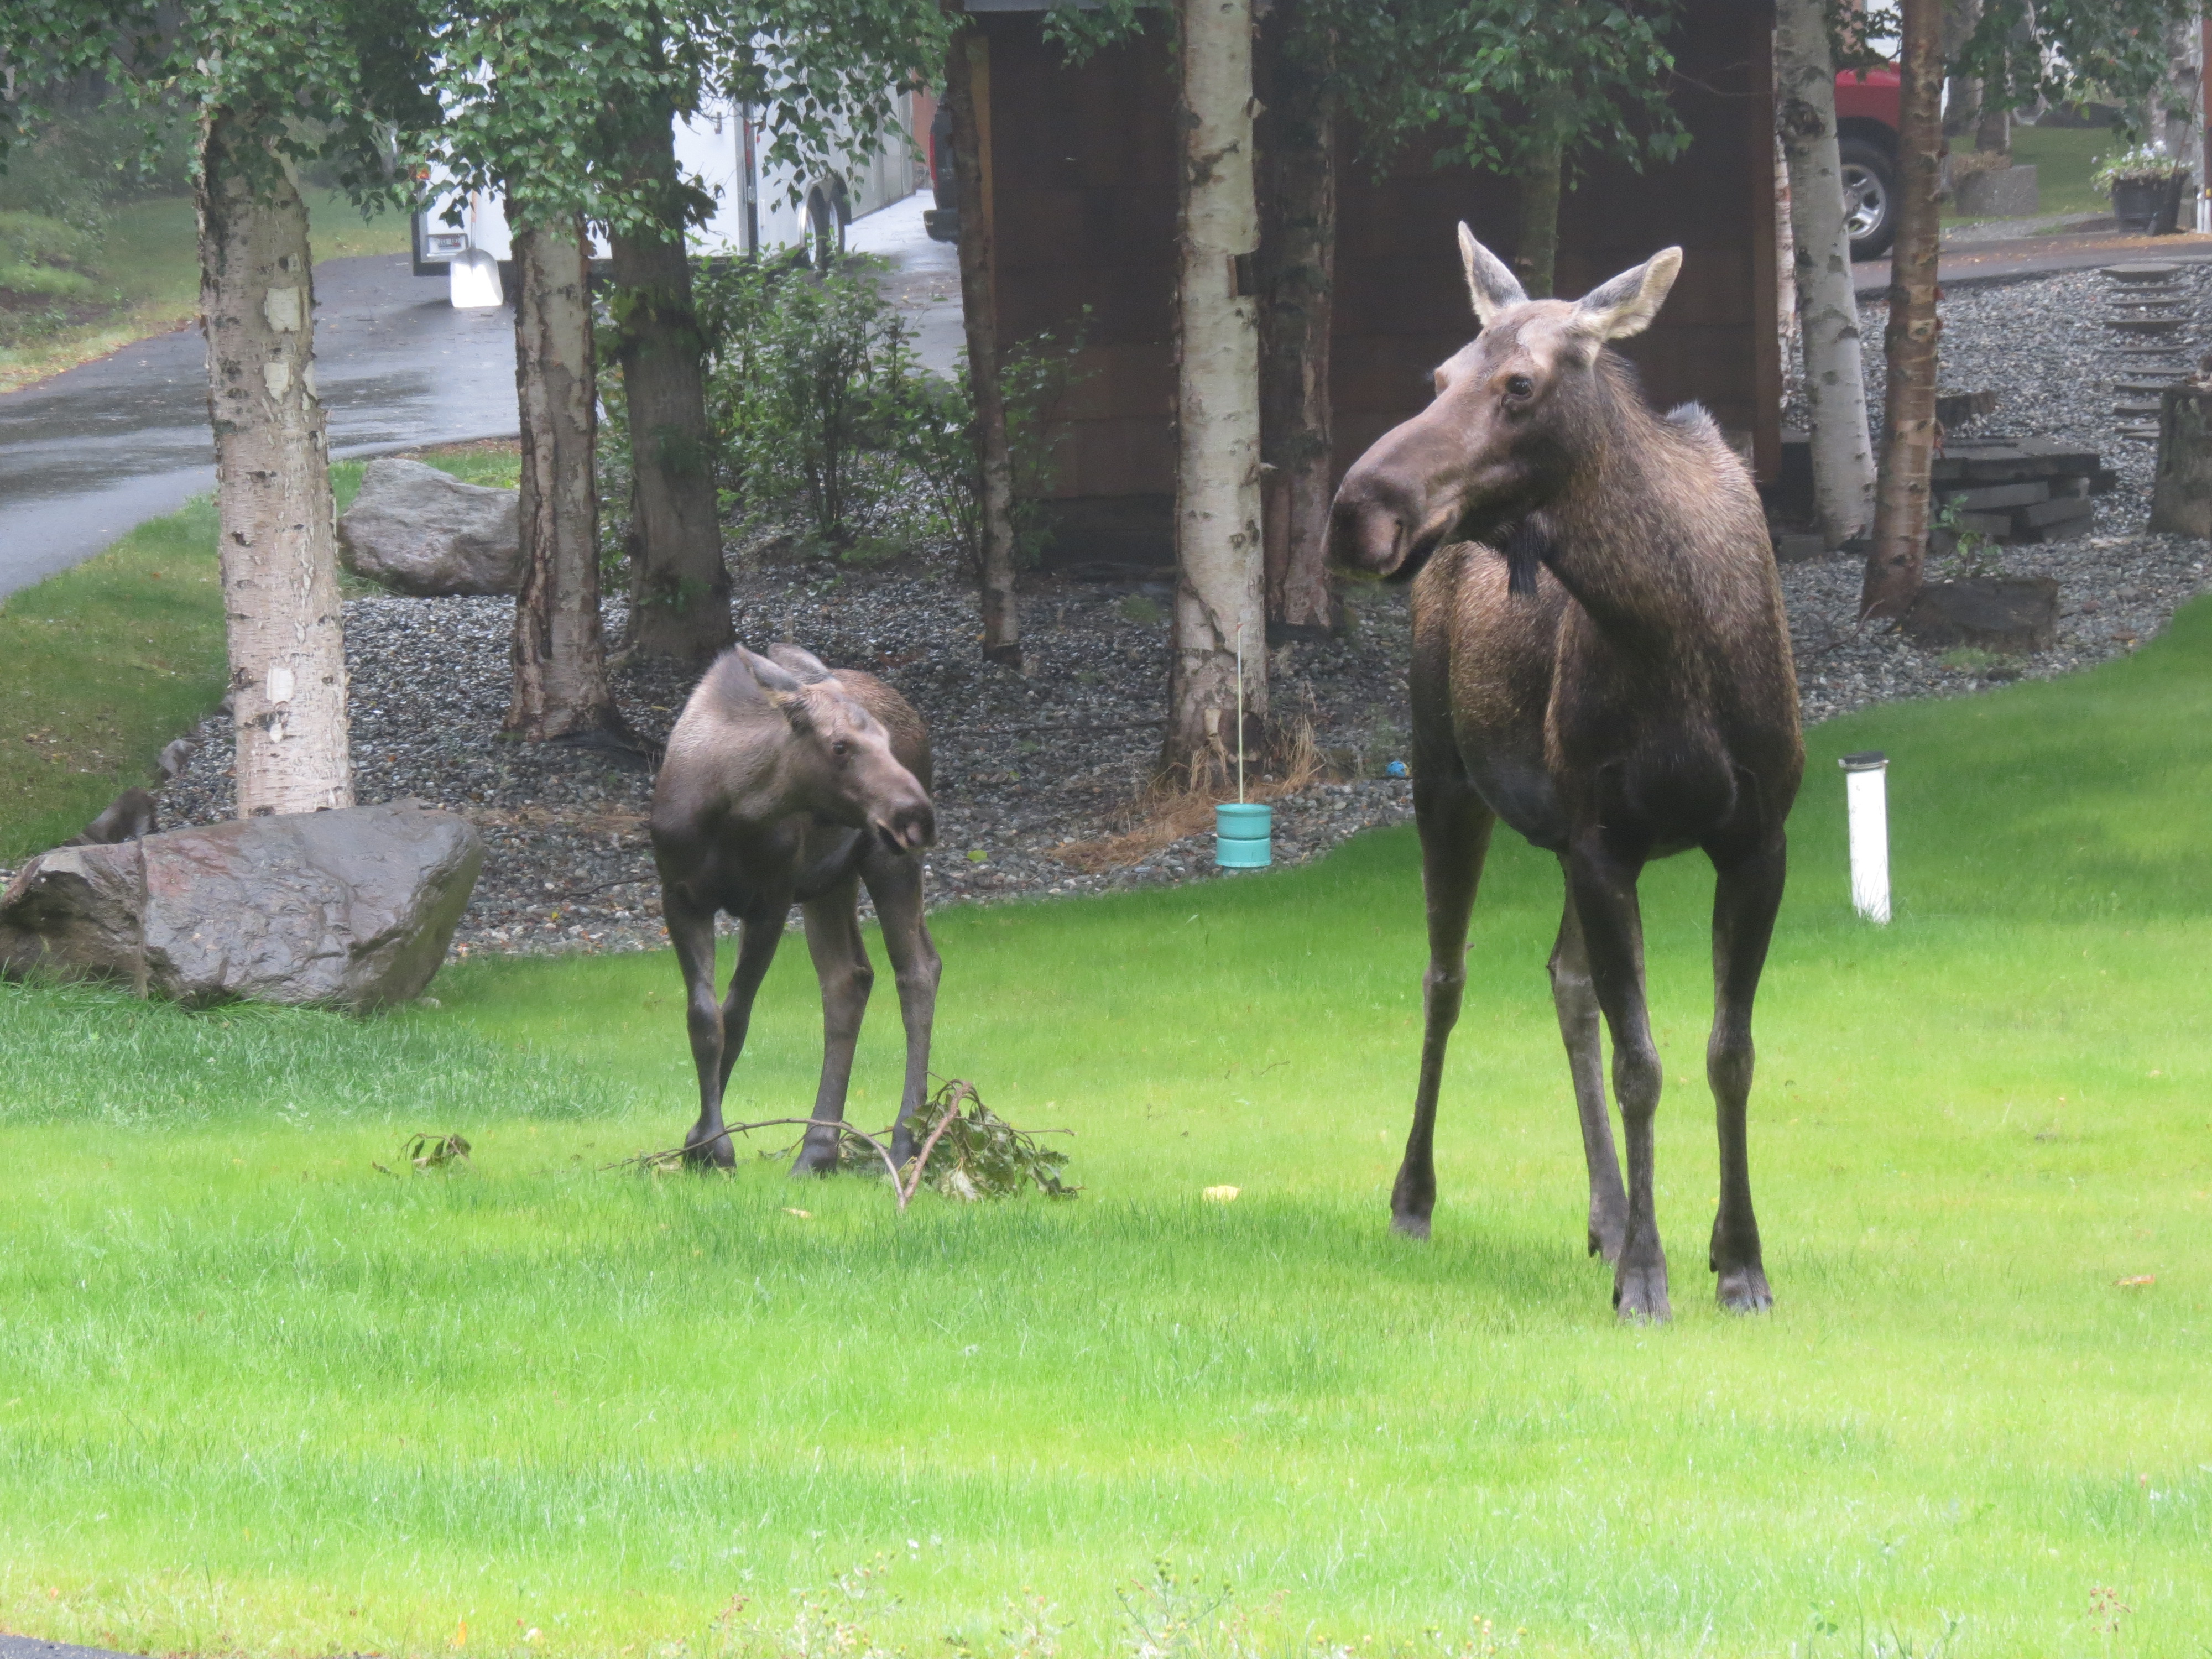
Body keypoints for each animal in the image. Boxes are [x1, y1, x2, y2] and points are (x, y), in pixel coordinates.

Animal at [650, 643, 940, 1176]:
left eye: (886, 742)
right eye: (840, 746)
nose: (919, 817)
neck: (732, 809)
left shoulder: (773, 900)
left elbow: (735, 1015)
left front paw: (713, 1145)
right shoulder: (679, 897)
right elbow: (704, 1017)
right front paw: (699, 1143)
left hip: (887, 860)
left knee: (917, 970)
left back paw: (905, 1140)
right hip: (832, 881)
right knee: (849, 978)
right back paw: (817, 1148)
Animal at [1327, 226, 1804, 1322]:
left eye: (1519, 384)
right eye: (1437, 375)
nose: (1357, 509)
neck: (1672, 633)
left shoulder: (1757, 836)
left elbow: (1730, 1052)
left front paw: (1738, 1259)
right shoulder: (1601, 837)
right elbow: (1644, 1063)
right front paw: (1649, 1279)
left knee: (1565, 976)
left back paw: (1610, 1213)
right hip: (1445, 776)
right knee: (1447, 978)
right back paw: (1416, 1196)